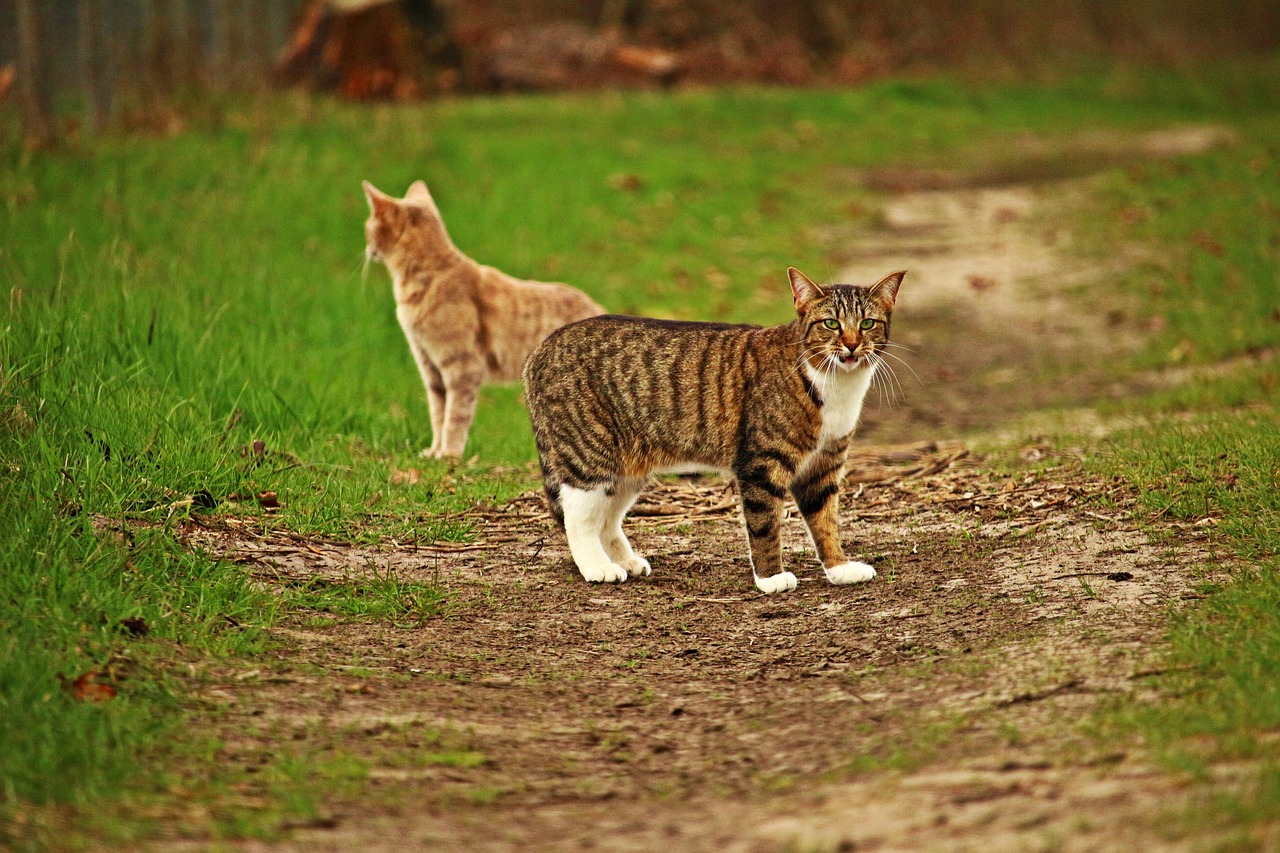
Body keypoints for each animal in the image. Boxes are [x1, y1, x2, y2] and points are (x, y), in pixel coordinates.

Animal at [366, 180, 604, 458]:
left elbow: (455, 416)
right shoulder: (430, 368)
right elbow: (438, 415)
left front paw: (449, 454)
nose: (368, 249)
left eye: (368, 228)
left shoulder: (462, 367)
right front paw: (434, 452)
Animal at [524, 266, 906, 591]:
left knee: (607, 518)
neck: (836, 386)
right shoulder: (760, 463)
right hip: (590, 454)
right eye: (830, 323)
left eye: (867, 323)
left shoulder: (824, 465)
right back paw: (597, 567)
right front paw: (771, 577)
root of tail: (541, 348)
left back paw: (624, 560)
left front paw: (839, 568)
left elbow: (826, 521)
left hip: (627, 467)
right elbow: (765, 524)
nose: (852, 344)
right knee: (577, 518)